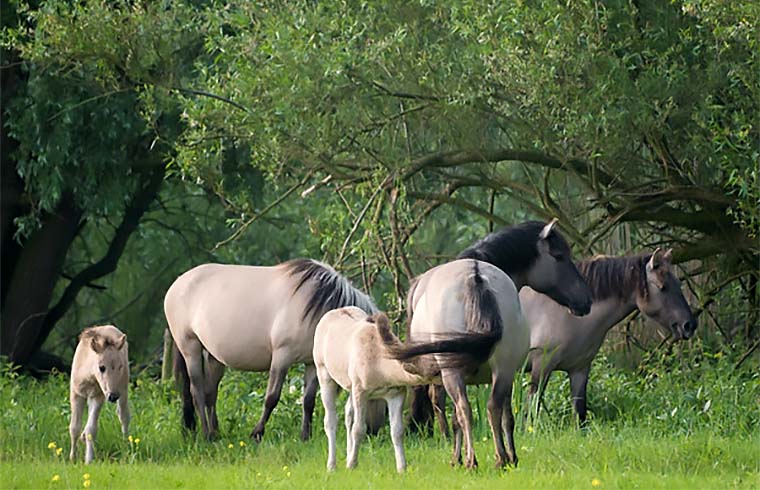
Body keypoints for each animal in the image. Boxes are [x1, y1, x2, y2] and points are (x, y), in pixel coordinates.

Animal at [69, 326, 129, 464]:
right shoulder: (76, 394)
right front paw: (72, 458)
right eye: (102, 367)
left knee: (124, 416)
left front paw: (89, 460)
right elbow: (74, 427)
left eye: (120, 366)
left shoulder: (98, 397)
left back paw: (126, 446)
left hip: (123, 390)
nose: (113, 396)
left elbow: (91, 429)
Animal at [166, 258, 380, 442]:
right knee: (196, 391)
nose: (373, 432)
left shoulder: (311, 362)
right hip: (190, 348)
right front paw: (257, 433)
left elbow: (308, 400)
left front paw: (305, 436)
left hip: (213, 356)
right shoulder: (282, 357)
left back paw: (216, 432)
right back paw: (207, 435)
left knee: (211, 392)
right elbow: (272, 398)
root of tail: (177, 283)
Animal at [404, 220, 592, 468]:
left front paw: (457, 457)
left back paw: (475, 460)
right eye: (559, 256)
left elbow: (455, 417)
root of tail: (476, 277)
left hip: (455, 372)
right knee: (490, 407)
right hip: (502, 369)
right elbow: (505, 416)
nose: (586, 300)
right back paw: (501, 458)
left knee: (465, 410)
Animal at [524, 249, 696, 424]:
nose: (689, 325)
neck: (567, 313)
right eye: (663, 287)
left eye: (679, 284)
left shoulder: (580, 369)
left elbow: (579, 414)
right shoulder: (542, 366)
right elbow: (531, 411)